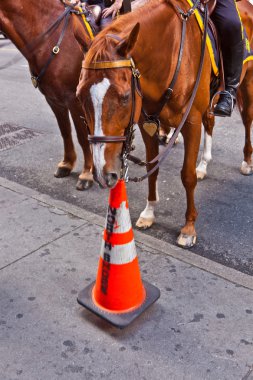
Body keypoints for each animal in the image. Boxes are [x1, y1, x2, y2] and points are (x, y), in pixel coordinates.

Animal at [0, 0, 93, 190]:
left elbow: (82, 136)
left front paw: (87, 172)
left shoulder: (75, 100)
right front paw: (67, 164)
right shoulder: (54, 99)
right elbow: (65, 131)